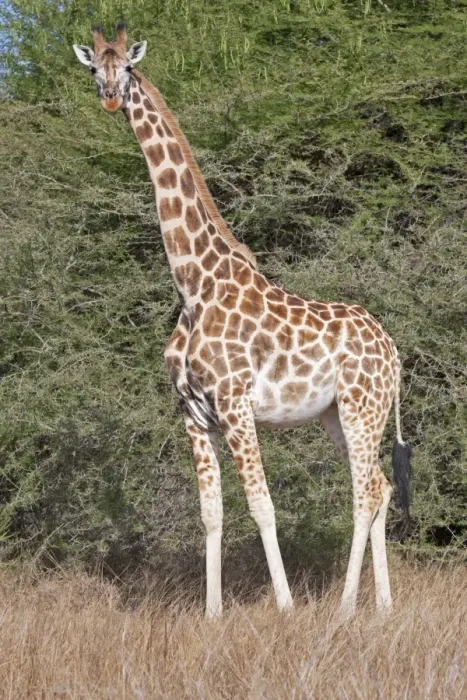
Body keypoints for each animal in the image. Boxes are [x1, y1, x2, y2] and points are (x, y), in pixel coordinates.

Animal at [74, 23, 412, 619]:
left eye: (129, 68)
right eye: (95, 68)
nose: (112, 97)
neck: (194, 285)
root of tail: (393, 352)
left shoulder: (234, 404)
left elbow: (262, 505)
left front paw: (286, 607)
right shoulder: (192, 412)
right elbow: (211, 512)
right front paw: (211, 614)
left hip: (360, 408)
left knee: (366, 491)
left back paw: (346, 607)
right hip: (339, 416)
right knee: (380, 486)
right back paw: (382, 608)